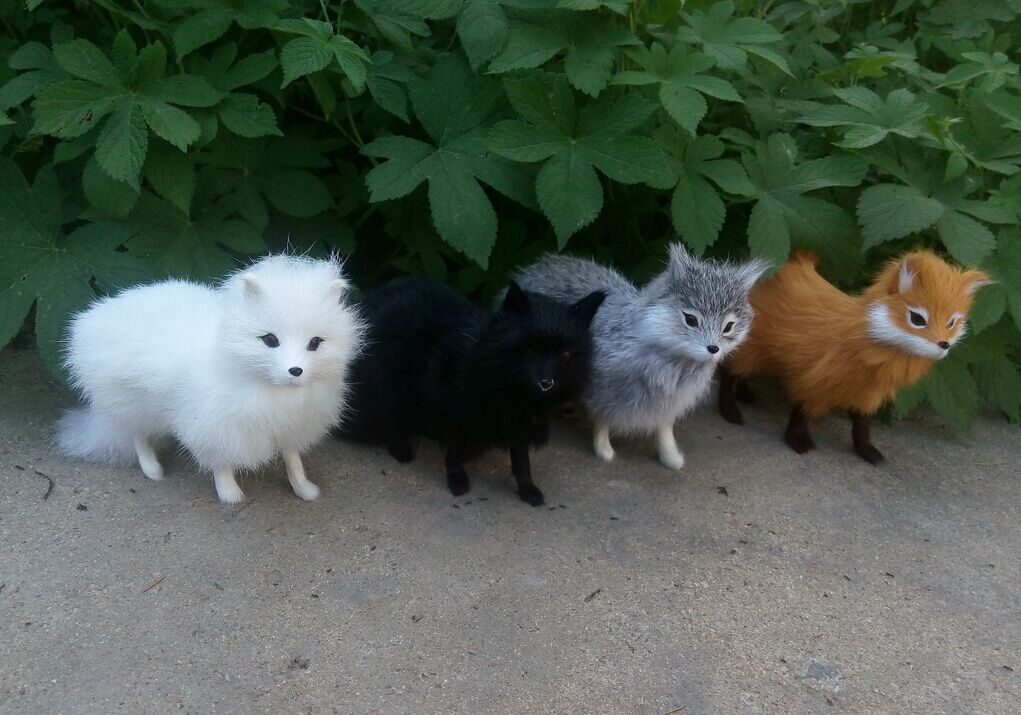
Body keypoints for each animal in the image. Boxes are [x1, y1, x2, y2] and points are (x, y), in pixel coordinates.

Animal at [719, 250, 992, 463]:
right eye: (917, 319)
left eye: (952, 322)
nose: (943, 344)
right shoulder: (816, 384)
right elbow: (800, 415)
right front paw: (797, 442)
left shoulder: (868, 395)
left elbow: (861, 428)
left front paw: (867, 452)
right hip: (751, 353)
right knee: (728, 374)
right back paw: (731, 410)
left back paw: (745, 394)